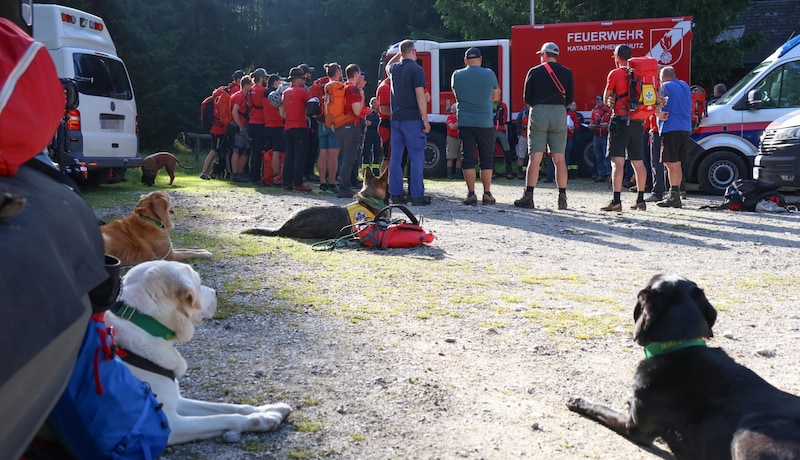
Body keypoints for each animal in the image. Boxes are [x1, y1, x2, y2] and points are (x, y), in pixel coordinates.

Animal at [104, 260, 294, 444]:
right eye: (199, 282)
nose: (216, 292)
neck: (145, 326)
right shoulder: (168, 423)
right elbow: (223, 418)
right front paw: (263, 419)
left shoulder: (178, 401)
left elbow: (226, 406)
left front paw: (269, 408)